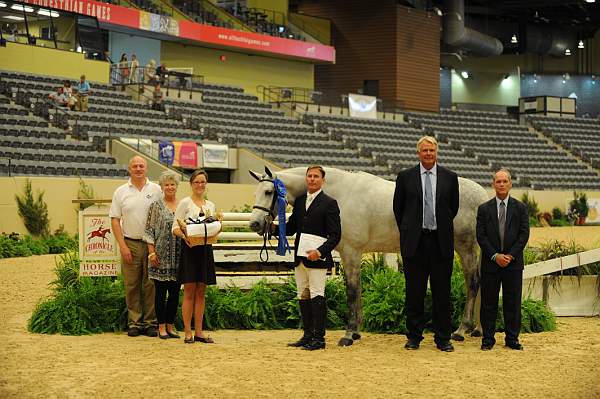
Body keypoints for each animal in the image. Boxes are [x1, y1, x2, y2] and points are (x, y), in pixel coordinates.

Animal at [248, 166, 488, 346]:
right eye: (256, 192)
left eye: (269, 192)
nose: (255, 224)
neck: (339, 193)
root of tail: (482, 196)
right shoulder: (351, 254)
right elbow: (356, 289)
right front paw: (356, 332)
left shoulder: (351, 252)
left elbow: (353, 291)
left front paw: (348, 334)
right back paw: (476, 330)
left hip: (465, 247)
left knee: (473, 283)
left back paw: (461, 330)